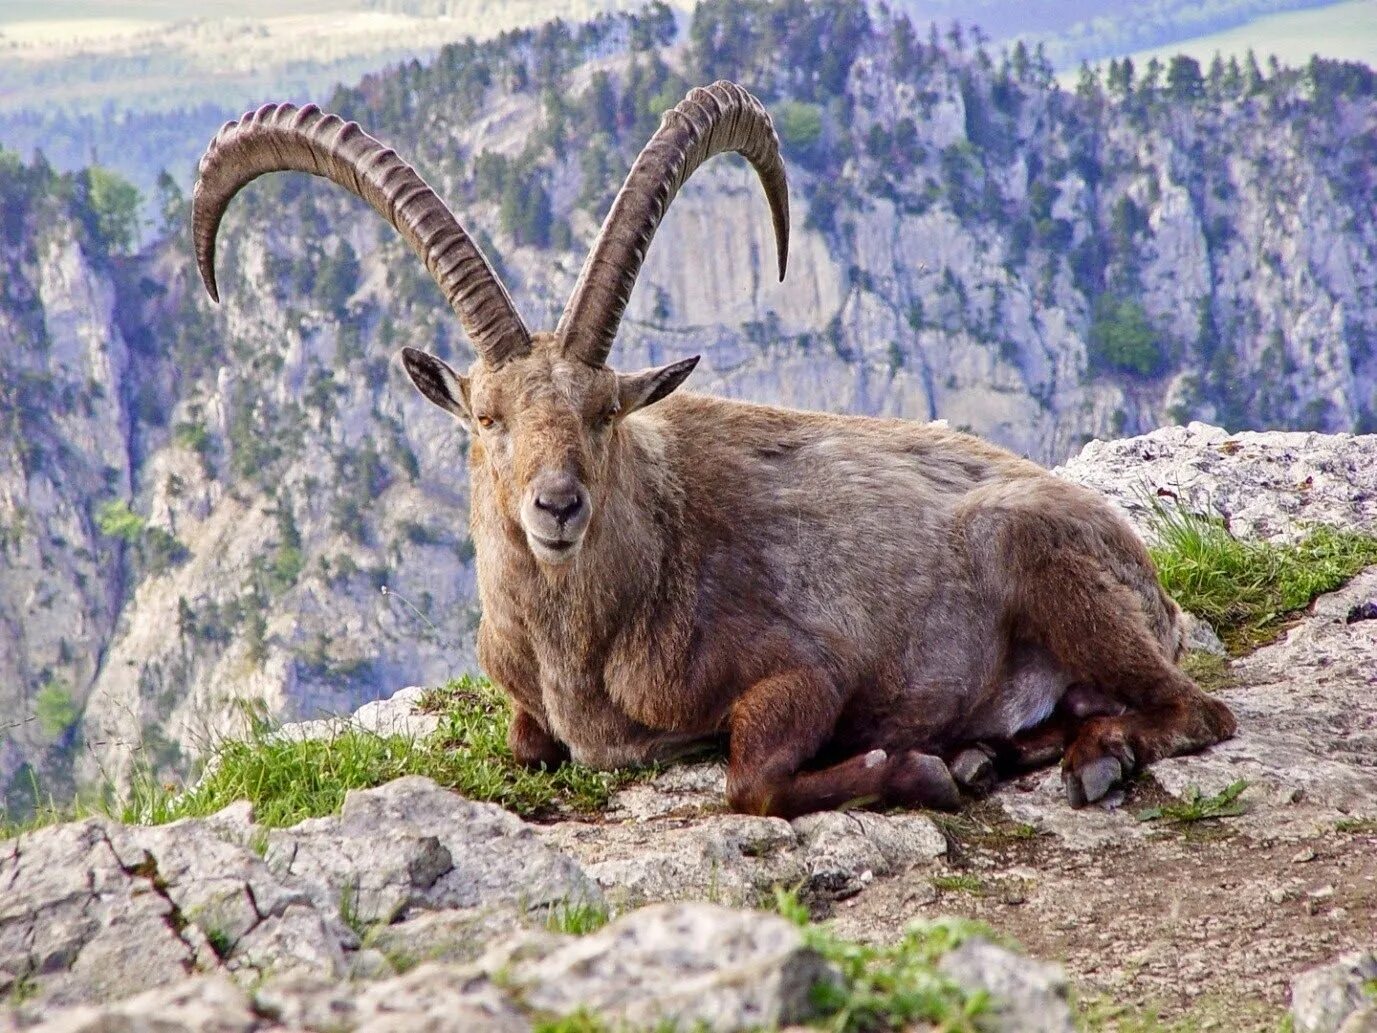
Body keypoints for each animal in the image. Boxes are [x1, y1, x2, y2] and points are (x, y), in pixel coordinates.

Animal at [194, 80, 1239, 820]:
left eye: (606, 411)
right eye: (485, 417)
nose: (557, 506)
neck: (587, 637)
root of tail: (1148, 578)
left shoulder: (802, 671)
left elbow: (752, 780)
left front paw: (914, 767)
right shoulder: (528, 714)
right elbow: (529, 747)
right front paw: (945, 760)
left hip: (1041, 558)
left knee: (1196, 711)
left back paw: (1083, 759)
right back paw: (1004, 748)